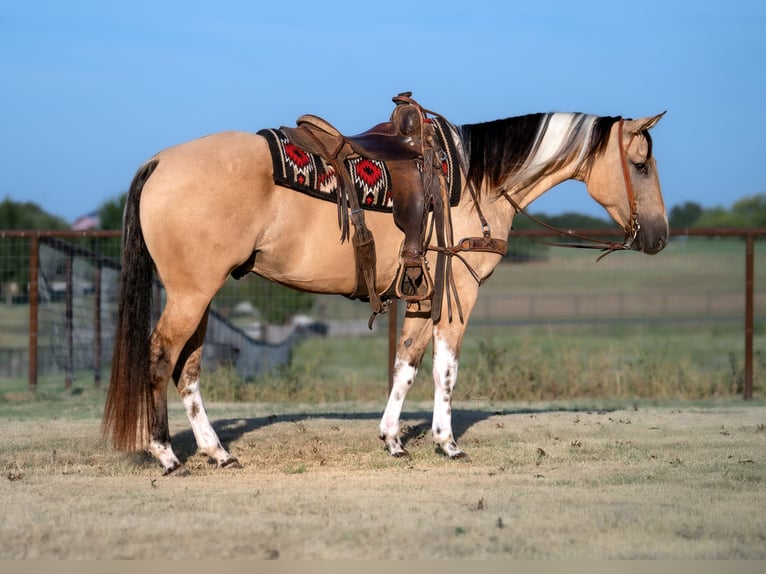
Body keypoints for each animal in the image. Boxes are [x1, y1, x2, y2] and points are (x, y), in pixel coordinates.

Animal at [102, 106, 669, 475]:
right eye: (640, 164)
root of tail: (161, 161)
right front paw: (446, 443)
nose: (660, 236)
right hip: (191, 295)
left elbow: (407, 363)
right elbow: (445, 368)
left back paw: (218, 452)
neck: (473, 182)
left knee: (189, 369)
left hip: (199, 296)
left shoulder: (420, 295)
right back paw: (166, 454)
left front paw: (394, 440)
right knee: (160, 358)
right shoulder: (458, 293)